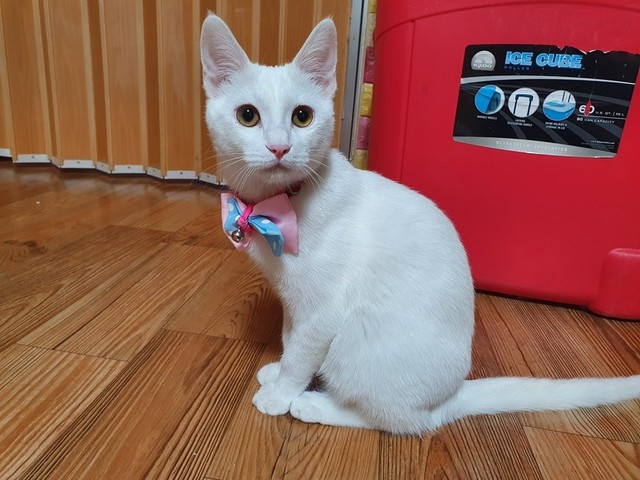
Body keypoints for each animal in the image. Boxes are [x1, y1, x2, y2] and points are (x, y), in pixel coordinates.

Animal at [200, 14, 640, 434]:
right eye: (247, 116)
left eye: (302, 117)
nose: (279, 147)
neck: (280, 202)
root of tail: (450, 395)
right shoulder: (294, 300)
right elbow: (290, 338)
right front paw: (278, 372)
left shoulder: (323, 310)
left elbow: (302, 354)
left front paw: (282, 393)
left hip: (359, 339)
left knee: (402, 421)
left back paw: (316, 406)